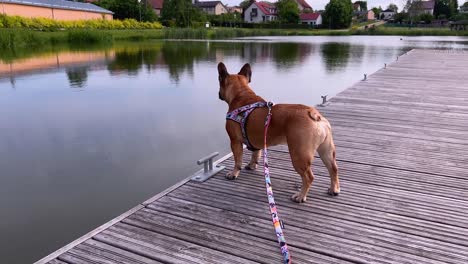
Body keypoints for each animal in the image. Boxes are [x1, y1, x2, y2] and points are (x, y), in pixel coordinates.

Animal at [219, 62, 340, 202]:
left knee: (308, 177)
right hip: (326, 150)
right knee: (333, 168)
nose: (219, 94)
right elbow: (256, 153)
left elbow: (237, 160)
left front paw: (233, 174)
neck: (241, 94)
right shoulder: (258, 140)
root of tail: (314, 114)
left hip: (299, 154)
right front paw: (252, 165)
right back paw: (334, 189)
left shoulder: (234, 141)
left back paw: (300, 196)